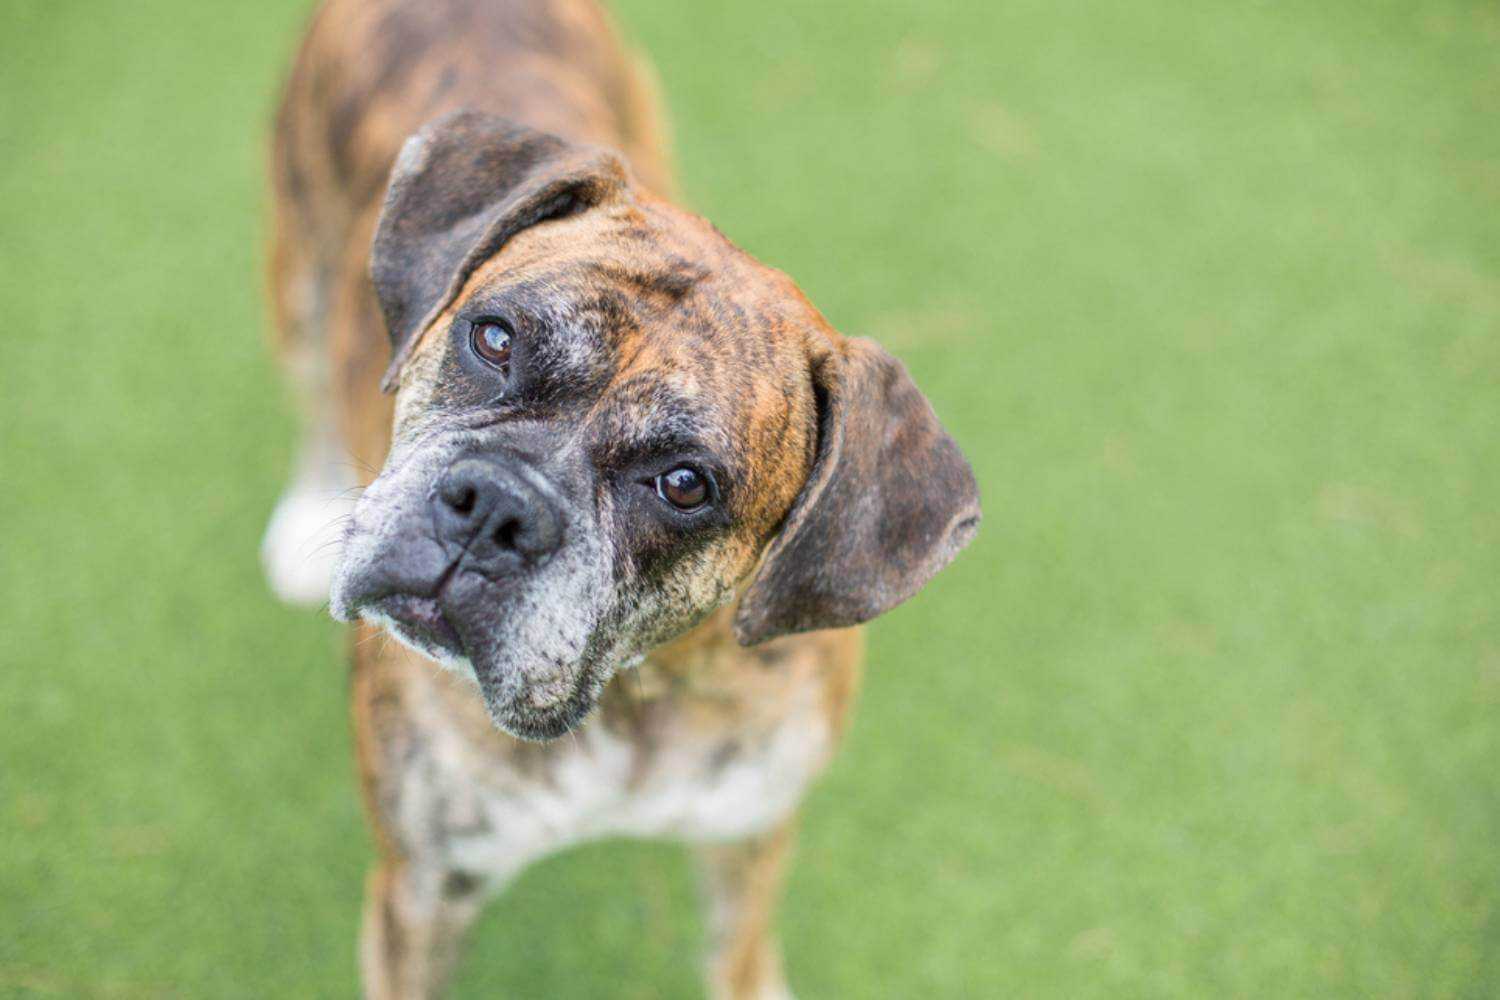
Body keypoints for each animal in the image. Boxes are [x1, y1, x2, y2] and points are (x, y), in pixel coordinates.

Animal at [261, 1, 984, 995]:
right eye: (493, 338)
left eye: (684, 484)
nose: (496, 508)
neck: (632, 695)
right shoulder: (421, 893)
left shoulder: (749, 841)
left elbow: (741, 957)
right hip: (295, 268)